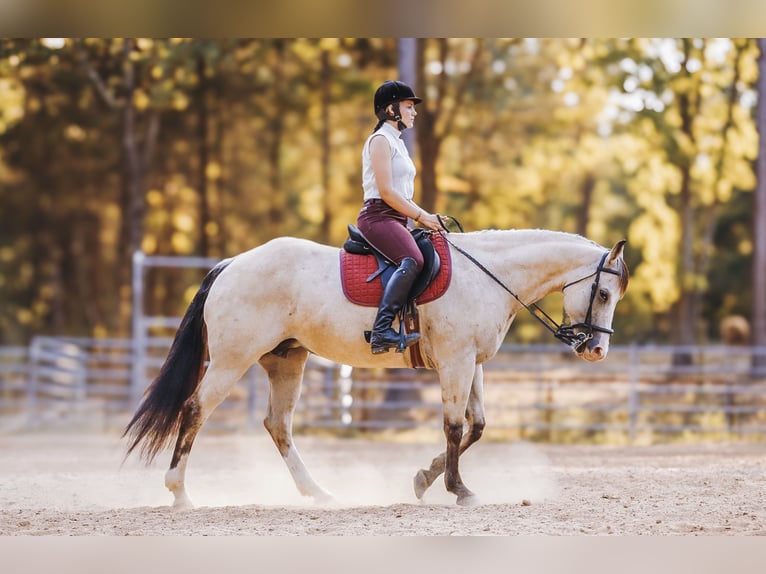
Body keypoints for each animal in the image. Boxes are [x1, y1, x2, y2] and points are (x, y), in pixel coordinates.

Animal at [124, 228, 632, 508]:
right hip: (232, 359)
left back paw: (319, 493)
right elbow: (453, 427)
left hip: (286, 360)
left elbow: (477, 426)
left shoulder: (472, 363)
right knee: (195, 410)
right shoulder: (456, 360)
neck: (488, 276)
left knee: (278, 425)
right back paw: (180, 493)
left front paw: (425, 478)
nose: (596, 350)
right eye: (604, 293)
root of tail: (231, 265)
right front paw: (458, 489)